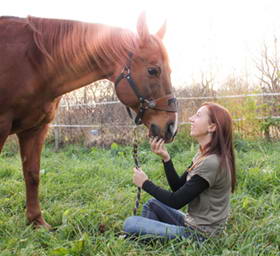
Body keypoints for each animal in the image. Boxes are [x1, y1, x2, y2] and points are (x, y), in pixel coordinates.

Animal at [0, 13, 178, 229]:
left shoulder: (35, 129)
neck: (34, 64)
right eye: (153, 70)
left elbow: (32, 175)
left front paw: (37, 223)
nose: (171, 127)